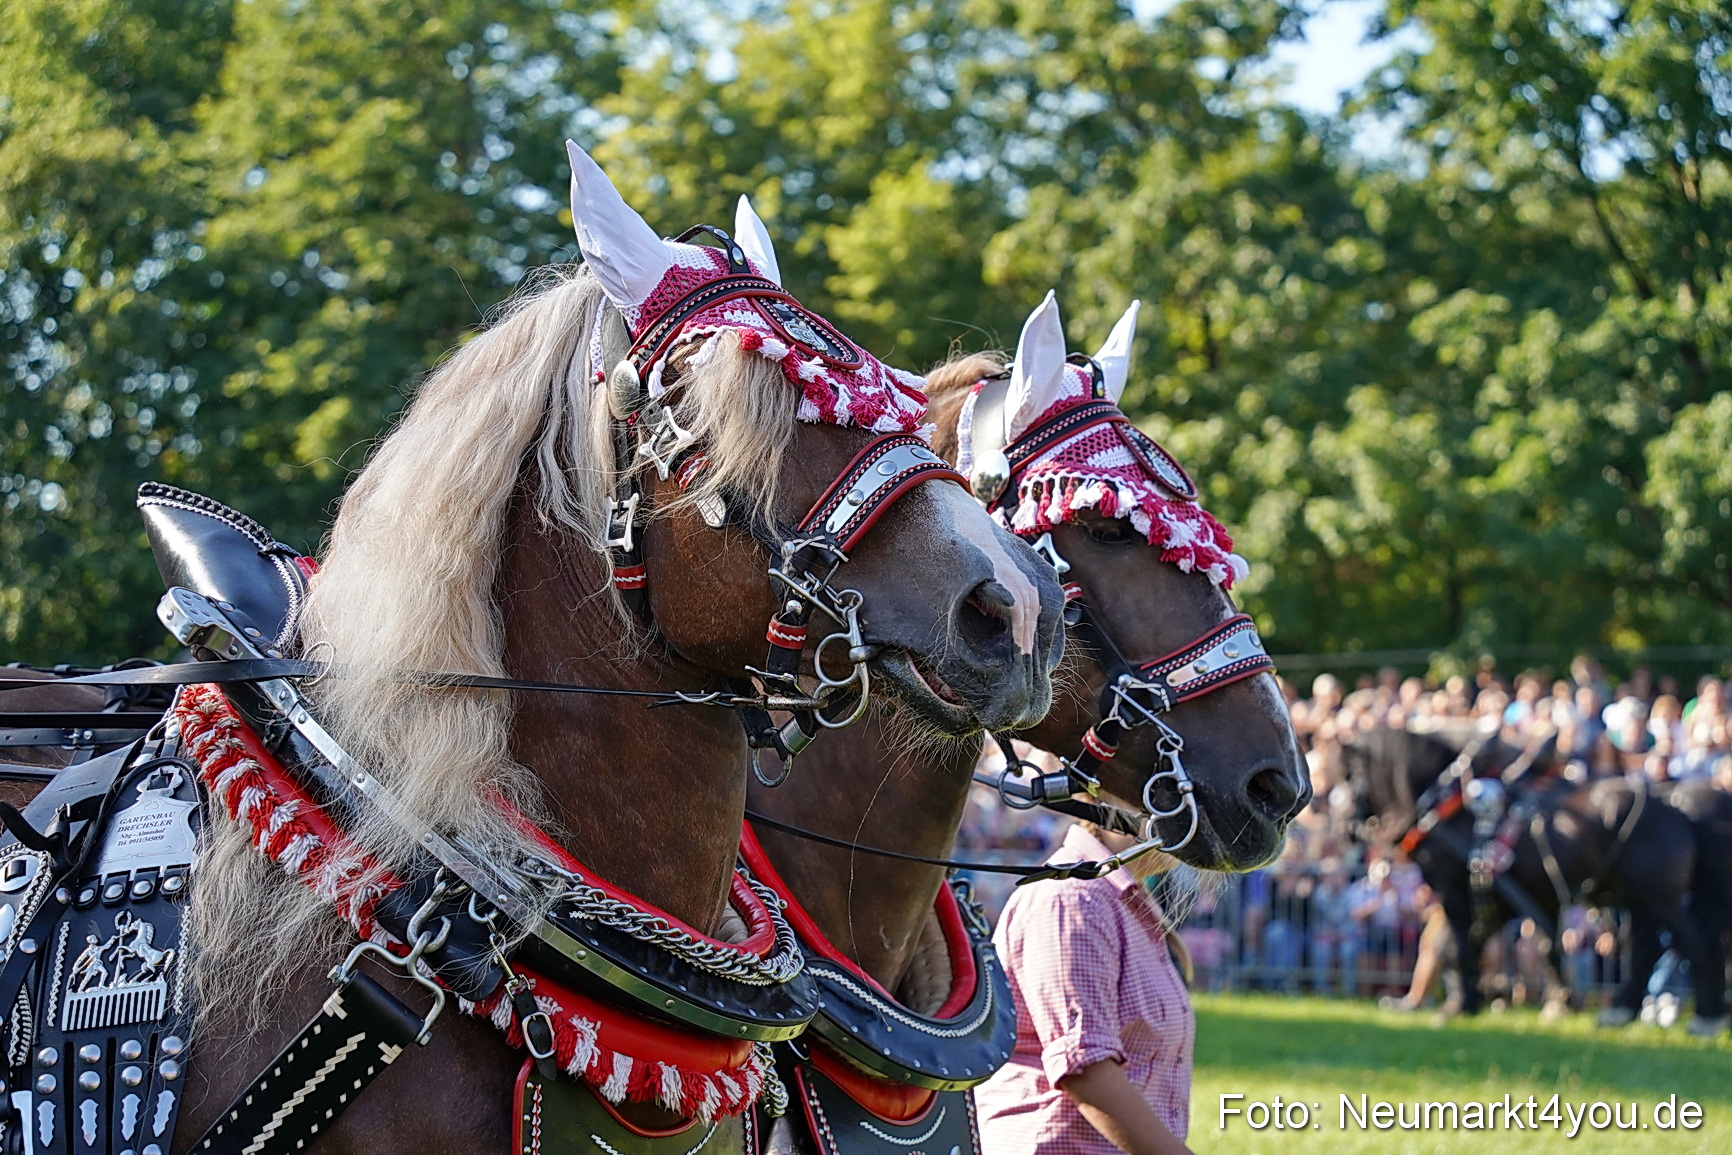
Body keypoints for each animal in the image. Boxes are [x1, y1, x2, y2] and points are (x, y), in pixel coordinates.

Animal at [1340, 726, 1728, 1034]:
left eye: (1347, 775)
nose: (1345, 827)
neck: (1448, 804)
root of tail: (1673, 803)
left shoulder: (1454, 890)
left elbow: (1461, 945)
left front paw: (1464, 1004)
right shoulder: (1511, 896)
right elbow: (1523, 945)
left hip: (1660, 898)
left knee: (1694, 944)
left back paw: (1705, 1019)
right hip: (1639, 899)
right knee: (1649, 948)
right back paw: (1621, 1011)